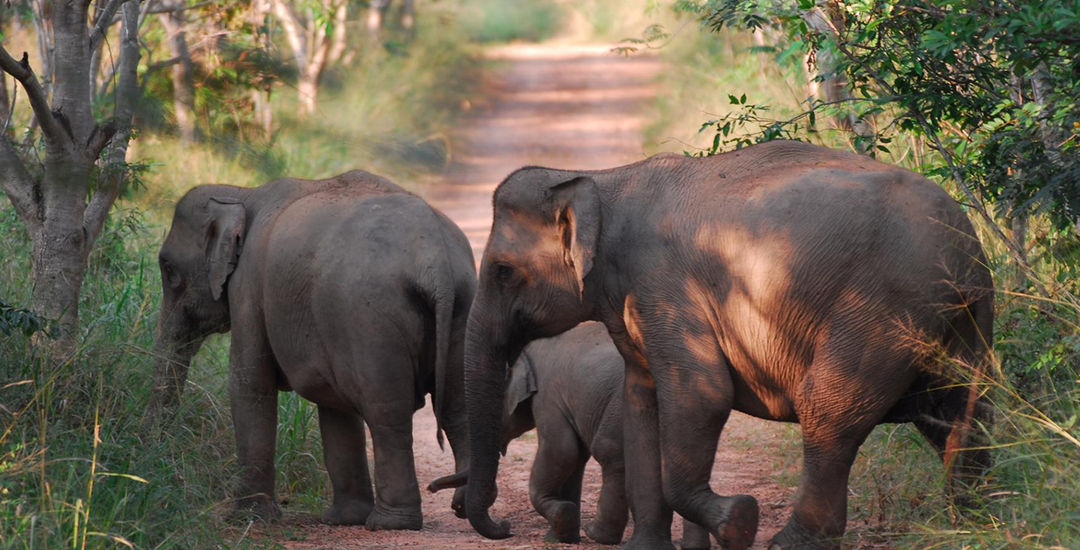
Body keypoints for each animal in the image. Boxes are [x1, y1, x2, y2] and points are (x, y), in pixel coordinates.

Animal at [150, 170, 475, 527]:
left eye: (168, 269)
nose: (164, 458)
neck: (242, 194)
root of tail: (435, 262)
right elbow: (334, 406)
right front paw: (343, 519)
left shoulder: (248, 286)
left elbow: (250, 383)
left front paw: (248, 518)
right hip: (464, 305)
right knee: (457, 408)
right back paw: (465, 509)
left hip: (371, 318)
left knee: (388, 414)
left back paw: (391, 523)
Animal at [425, 322, 712, 548]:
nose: (431, 488)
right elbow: (575, 459)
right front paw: (561, 536)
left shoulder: (548, 396)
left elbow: (562, 451)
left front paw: (562, 522)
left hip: (621, 407)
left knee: (610, 454)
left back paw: (597, 535)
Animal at [460, 141, 989, 548]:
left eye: (502, 271)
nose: (502, 527)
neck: (603, 182)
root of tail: (965, 247)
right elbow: (641, 405)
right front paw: (648, 547)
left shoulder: (666, 289)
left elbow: (702, 395)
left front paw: (738, 523)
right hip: (960, 321)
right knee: (959, 412)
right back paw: (971, 522)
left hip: (880, 313)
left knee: (830, 411)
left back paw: (790, 542)